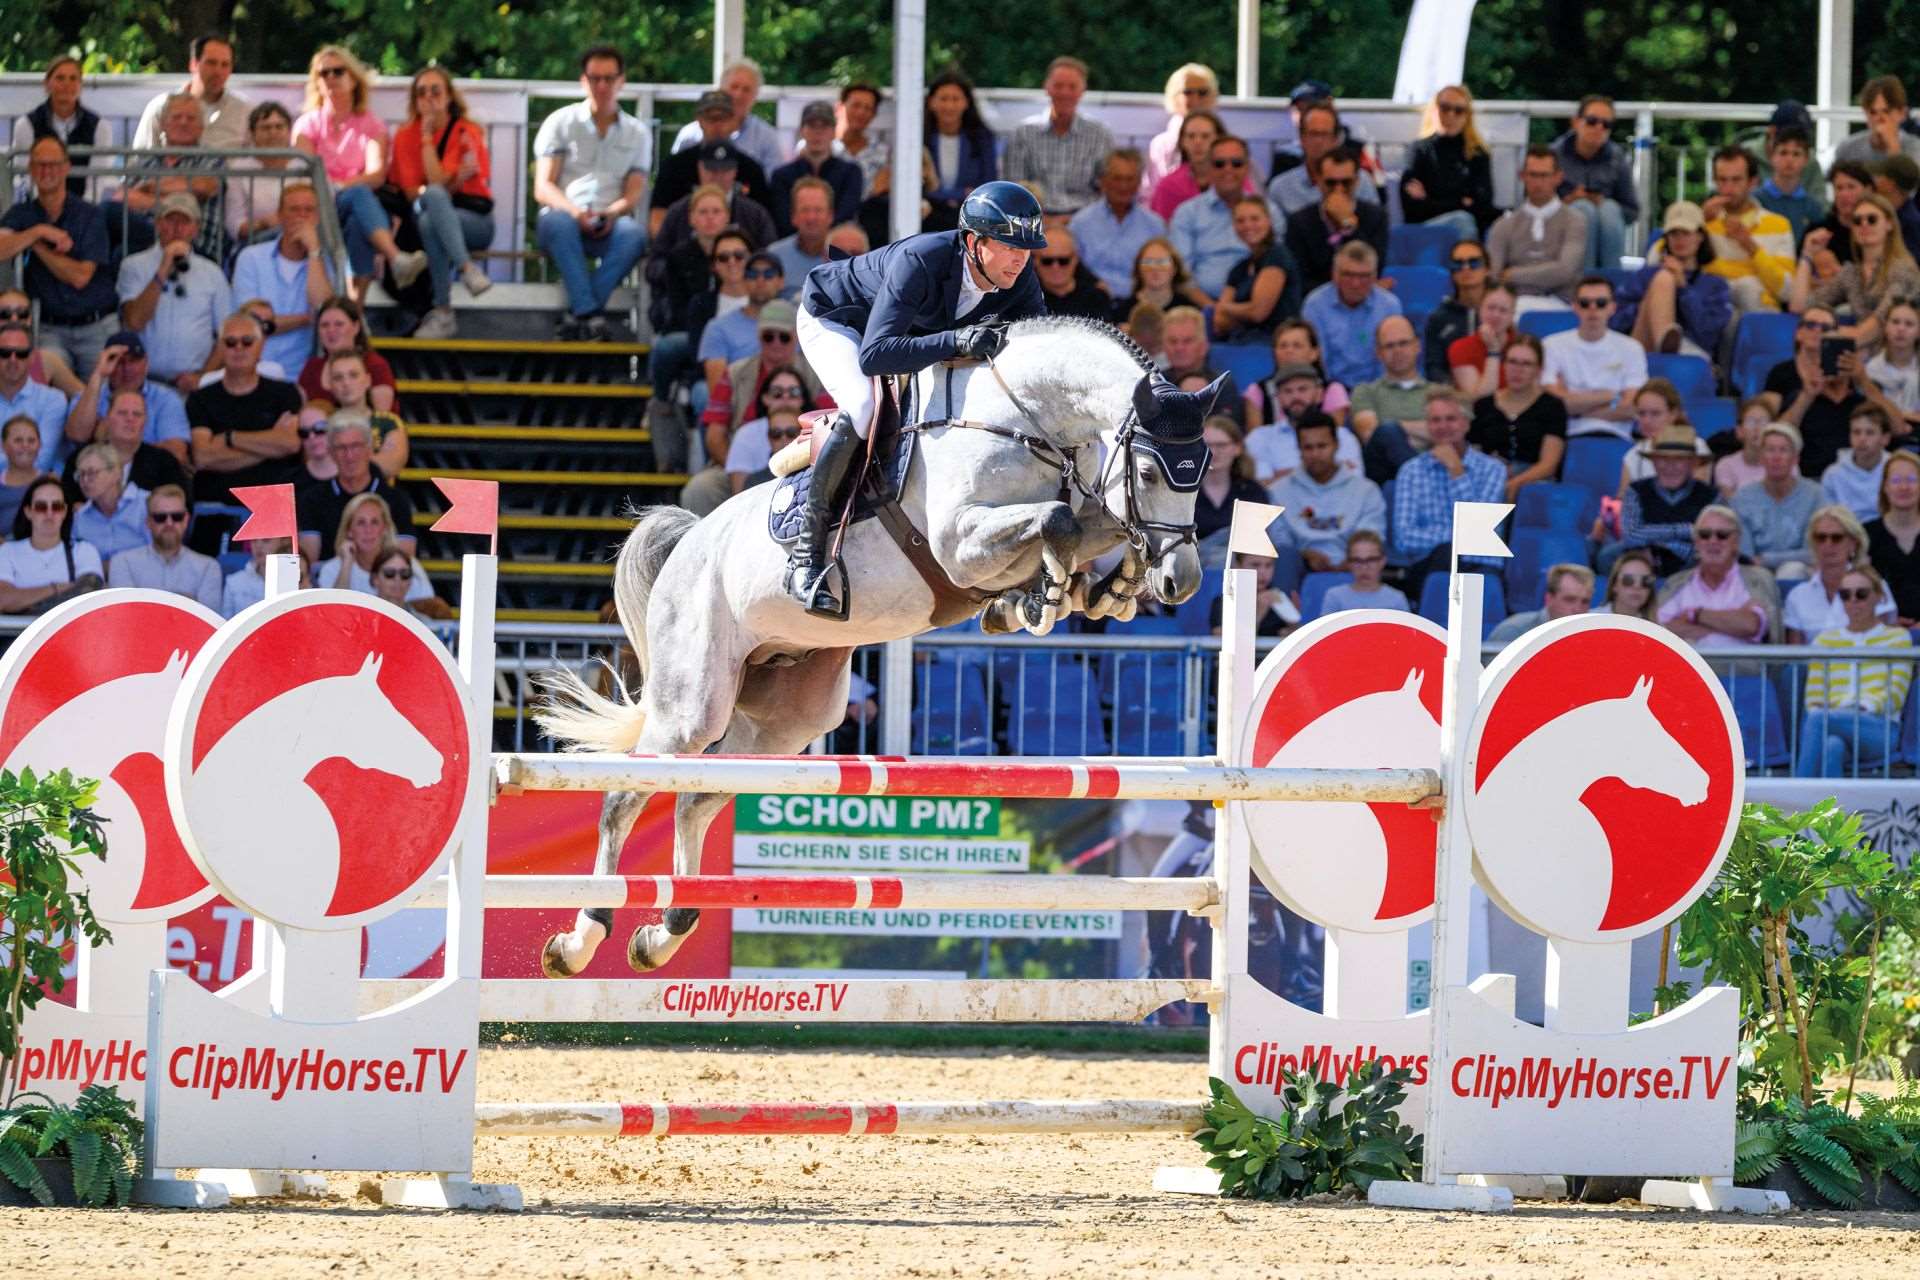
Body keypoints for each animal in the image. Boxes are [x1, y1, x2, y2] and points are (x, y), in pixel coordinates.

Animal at [535, 315, 1229, 978]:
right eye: (1148, 471)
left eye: (1203, 473)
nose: (1183, 581)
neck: (1021, 421)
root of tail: (689, 540)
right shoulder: (960, 543)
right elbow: (1057, 522)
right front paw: (1047, 595)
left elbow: (1095, 523)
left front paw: (1099, 590)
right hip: (693, 700)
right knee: (628, 793)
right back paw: (581, 939)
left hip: (788, 717)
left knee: (696, 797)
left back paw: (663, 933)